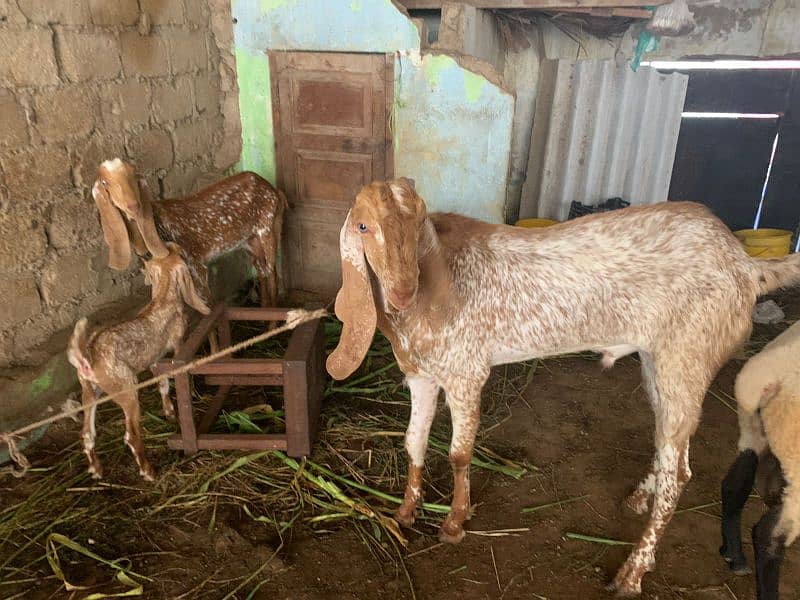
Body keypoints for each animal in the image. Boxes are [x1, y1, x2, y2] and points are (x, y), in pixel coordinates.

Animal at [67, 241, 209, 480]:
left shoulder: (154, 359)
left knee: (87, 434)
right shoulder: (178, 342)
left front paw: (169, 412)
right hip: (126, 391)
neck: (163, 299)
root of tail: (87, 358)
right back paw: (149, 472)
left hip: (89, 390)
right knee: (131, 436)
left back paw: (96, 470)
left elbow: (162, 383)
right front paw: (189, 395)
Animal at [94, 159, 288, 308]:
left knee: (272, 275)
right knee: (263, 272)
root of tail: (274, 190)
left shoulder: (197, 265)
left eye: (134, 175)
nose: (133, 206)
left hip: (268, 229)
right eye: (105, 183)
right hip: (250, 242)